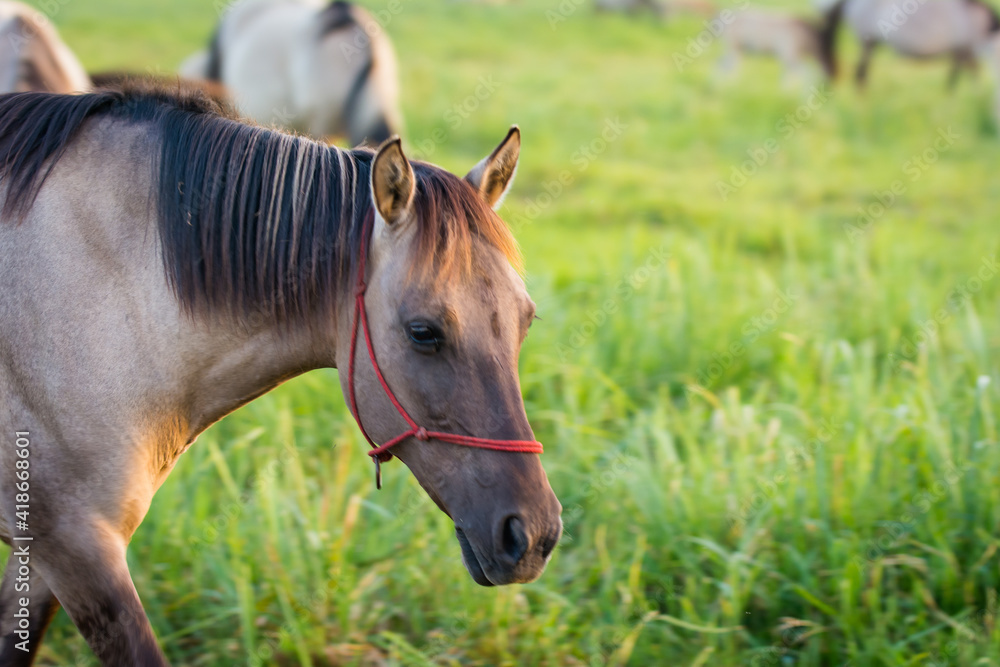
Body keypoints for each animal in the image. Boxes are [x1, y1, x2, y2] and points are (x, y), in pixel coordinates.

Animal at [0, 84, 561, 666]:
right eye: (423, 332)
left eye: (525, 320)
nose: (534, 535)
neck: (108, 293)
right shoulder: (78, 544)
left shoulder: (43, 549)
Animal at [820, 0, 1000, 89]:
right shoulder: (962, 51)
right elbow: (954, 82)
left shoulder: (963, 53)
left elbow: (965, 76)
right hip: (867, 42)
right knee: (861, 75)